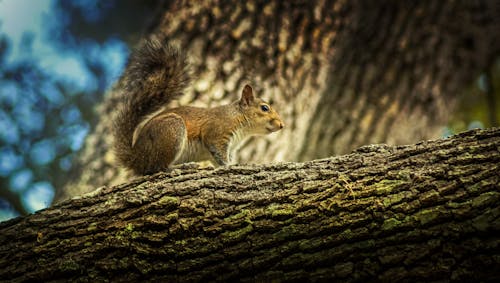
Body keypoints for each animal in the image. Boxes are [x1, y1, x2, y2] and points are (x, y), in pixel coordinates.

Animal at [114, 37, 286, 175]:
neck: (238, 118)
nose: (282, 125)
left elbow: (217, 159)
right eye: (265, 108)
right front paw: (229, 166)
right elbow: (218, 153)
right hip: (171, 132)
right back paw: (182, 167)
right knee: (157, 168)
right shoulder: (216, 133)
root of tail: (137, 157)